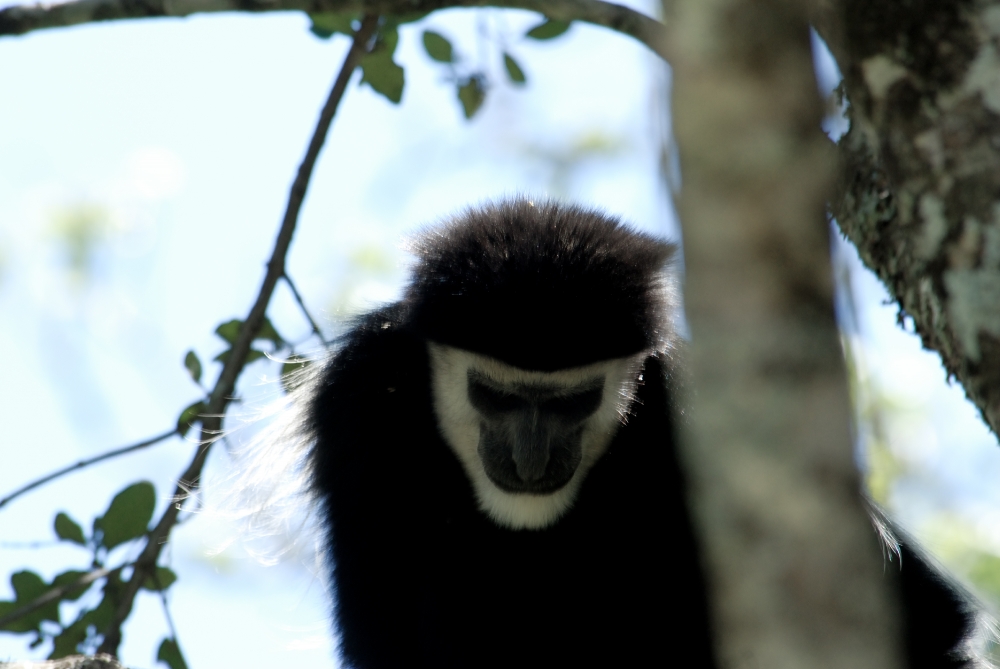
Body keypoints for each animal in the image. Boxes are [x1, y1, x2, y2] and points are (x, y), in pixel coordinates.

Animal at [300, 198, 988, 668]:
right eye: (492, 395)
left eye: (578, 401)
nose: (530, 459)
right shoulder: (358, 400)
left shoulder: (683, 409)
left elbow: (930, 619)